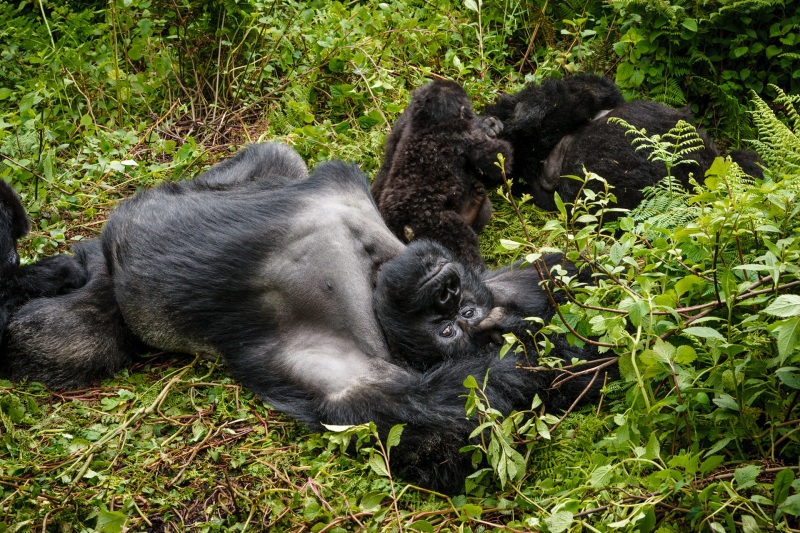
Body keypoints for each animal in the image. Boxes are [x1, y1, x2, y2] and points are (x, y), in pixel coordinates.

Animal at [1, 143, 608, 492]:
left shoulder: (342, 370)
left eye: (457, 323)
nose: (446, 290)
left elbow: (441, 431)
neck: (373, 278)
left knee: (49, 337)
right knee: (277, 157)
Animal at [370, 79, 512, 268]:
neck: (431, 123)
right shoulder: (464, 134)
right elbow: (499, 158)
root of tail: (406, 225)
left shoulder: (405, 122)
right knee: (463, 241)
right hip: (435, 222)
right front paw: (487, 126)